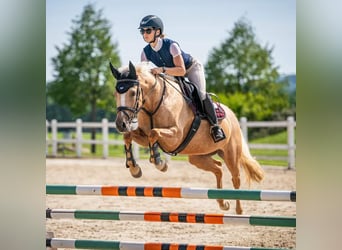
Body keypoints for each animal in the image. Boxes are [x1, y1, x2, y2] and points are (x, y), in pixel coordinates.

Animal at [109, 61, 264, 215]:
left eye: (132, 93)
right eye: (115, 94)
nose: (121, 124)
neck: (154, 103)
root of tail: (233, 116)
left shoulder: (175, 136)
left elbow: (154, 133)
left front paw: (160, 163)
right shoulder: (143, 135)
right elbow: (129, 136)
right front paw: (134, 168)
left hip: (230, 154)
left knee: (236, 177)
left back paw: (239, 209)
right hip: (198, 157)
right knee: (218, 169)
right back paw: (223, 203)